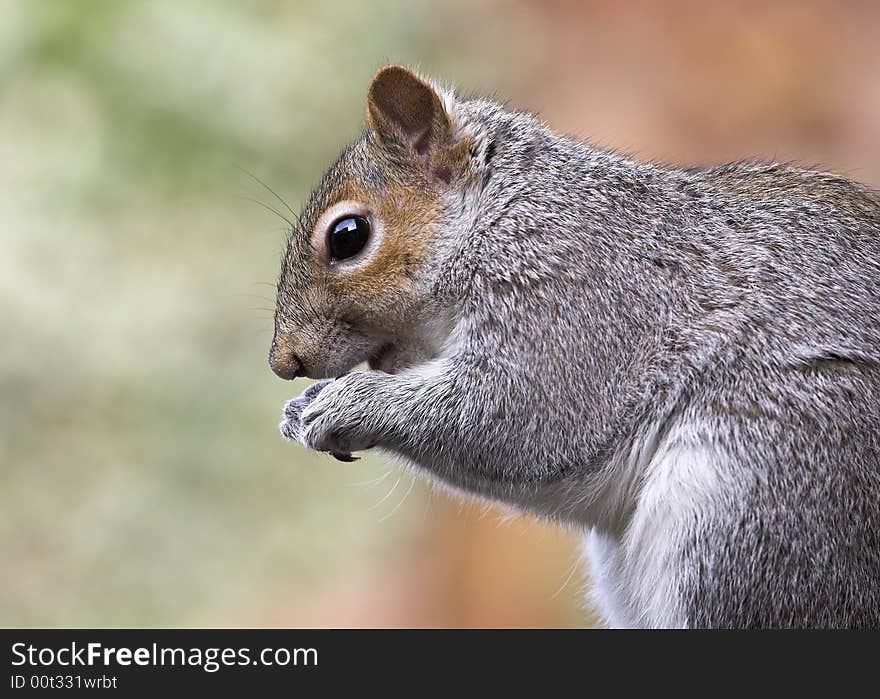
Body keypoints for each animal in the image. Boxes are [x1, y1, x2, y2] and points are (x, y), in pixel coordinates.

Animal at [268, 65, 880, 628]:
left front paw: (347, 404)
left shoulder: (578, 298)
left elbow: (518, 415)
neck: (503, 215)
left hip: (755, 505)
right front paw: (304, 406)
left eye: (348, 236)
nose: (283, 362)